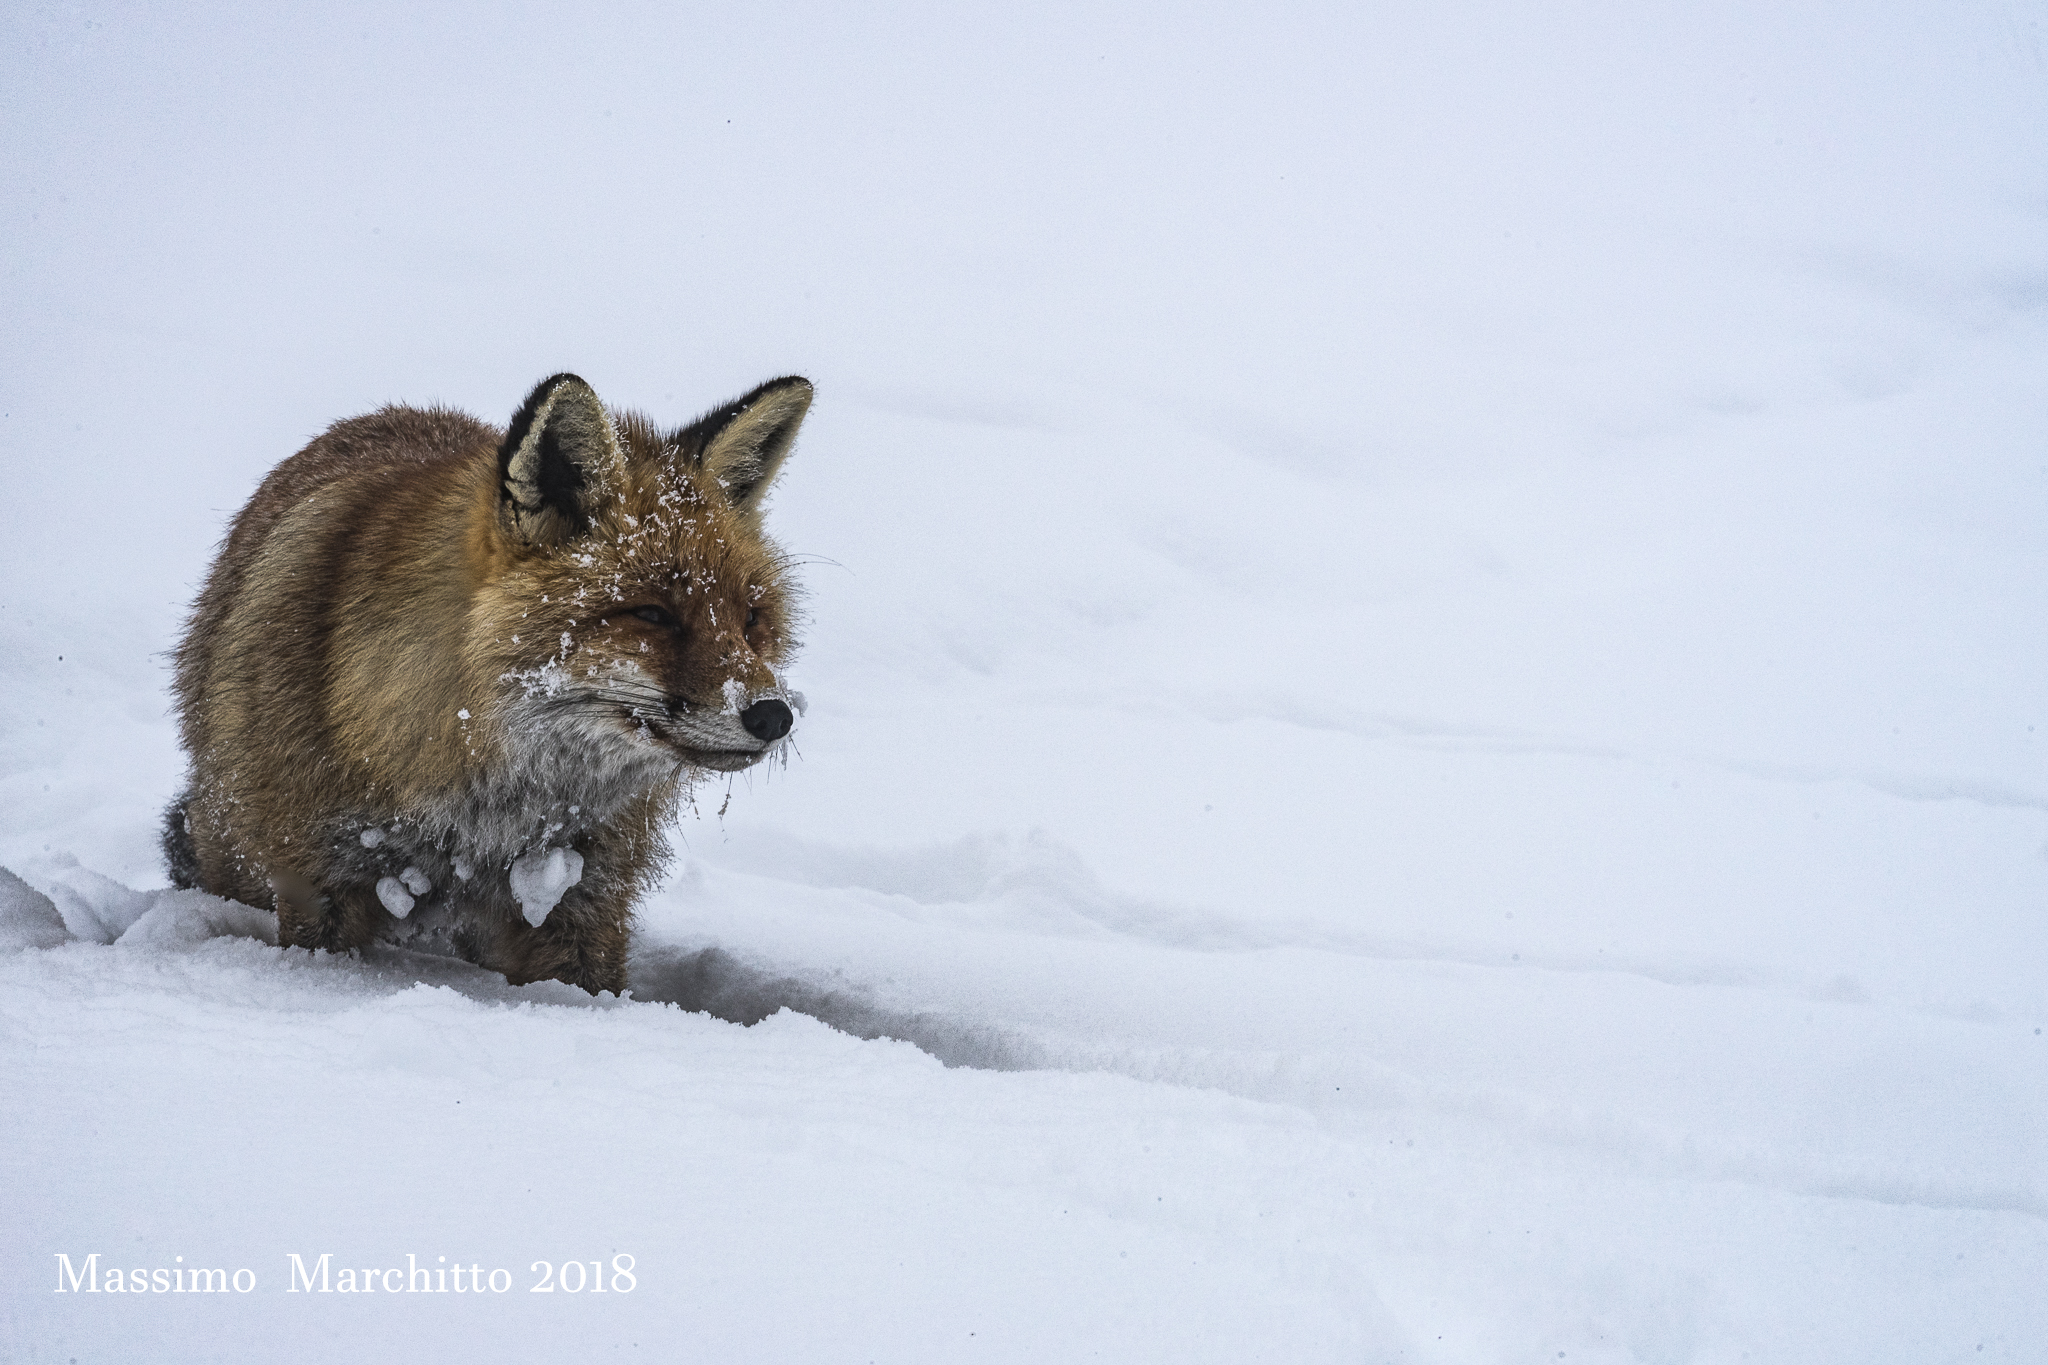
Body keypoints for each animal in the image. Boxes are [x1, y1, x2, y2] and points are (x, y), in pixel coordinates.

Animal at [162, 372, 813, 995]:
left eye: (751, 619)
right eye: (651, 614)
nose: (773, 716)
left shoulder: (581, 898)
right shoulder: (318, 877)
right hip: (239, 850)